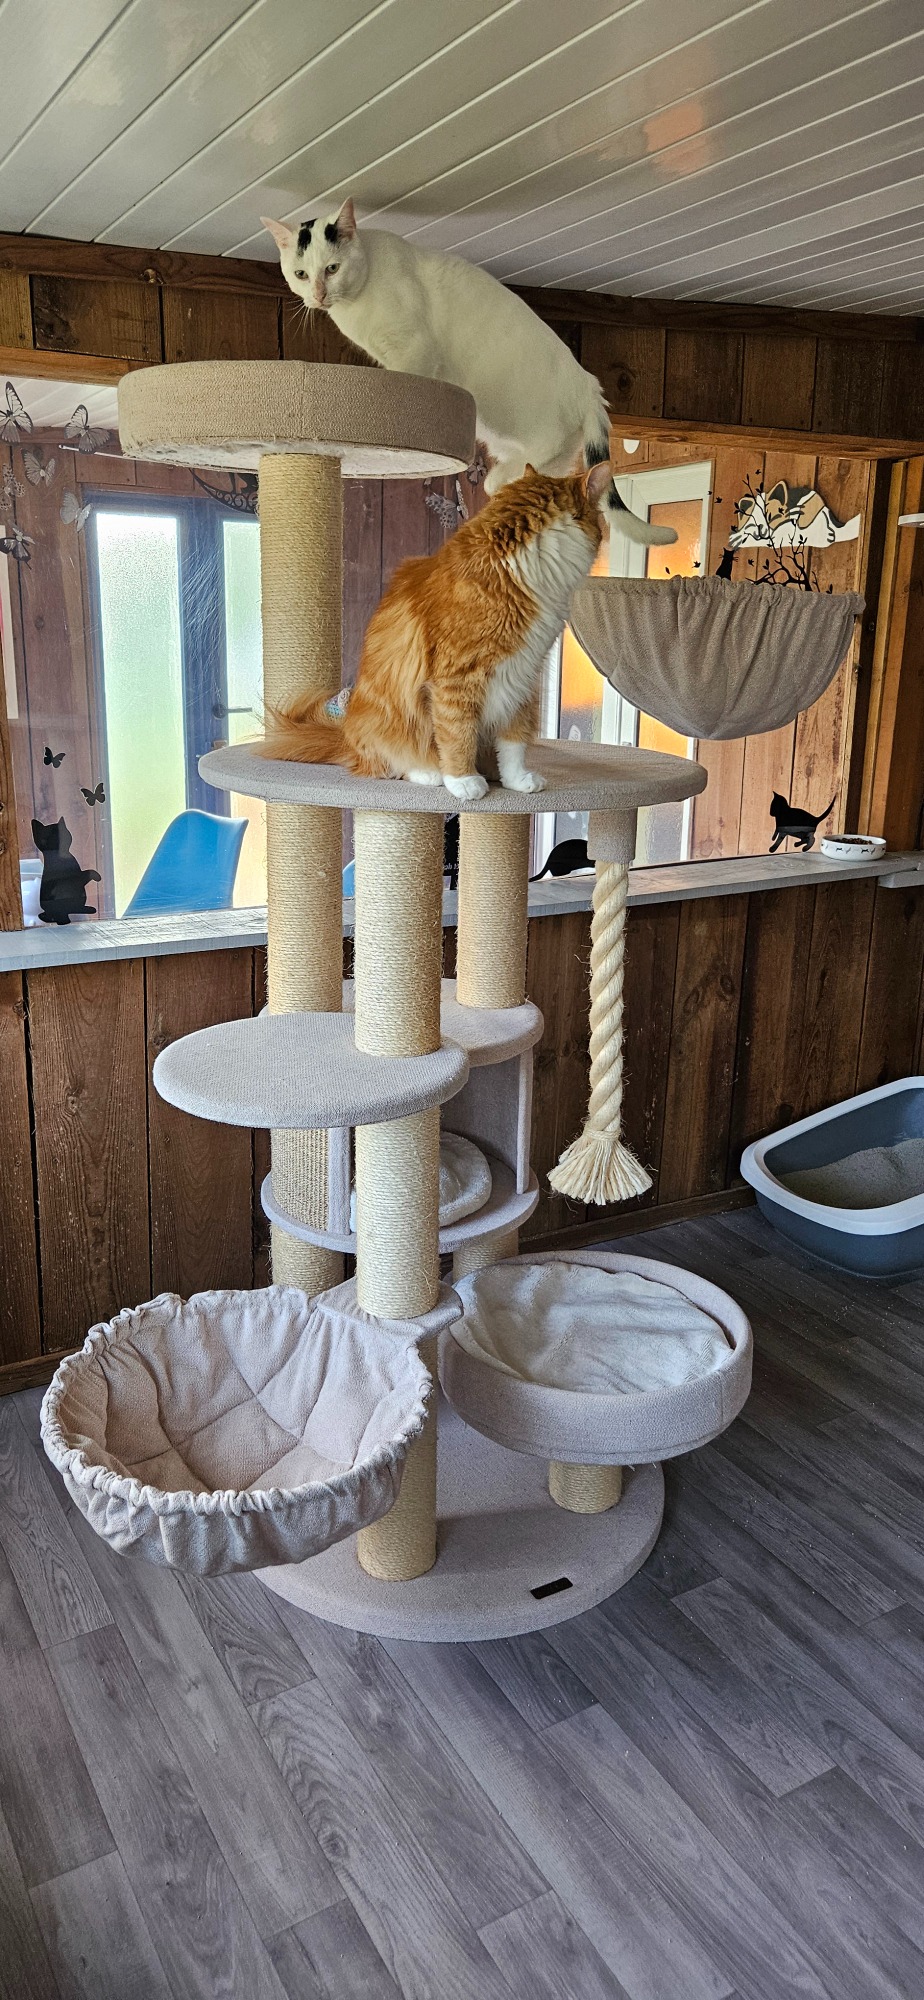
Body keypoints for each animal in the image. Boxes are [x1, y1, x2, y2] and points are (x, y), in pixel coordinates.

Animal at [259, 462, 615, 799]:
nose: (604, 535)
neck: (517, 567)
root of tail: (345, 734)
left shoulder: (522, 674)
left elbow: (514, 742)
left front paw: (516, 780)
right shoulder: (457, 679)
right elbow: (458, 736)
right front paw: (463, 781)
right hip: (384, 724)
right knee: (391, 763)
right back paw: (431, 774)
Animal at [263, 201, 674, 547]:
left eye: (332, 268)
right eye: (301, 274)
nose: (318, 295)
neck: (355, 303)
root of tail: (588, 384)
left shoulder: (414, 349)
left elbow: (409, 380)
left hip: (541, 432)